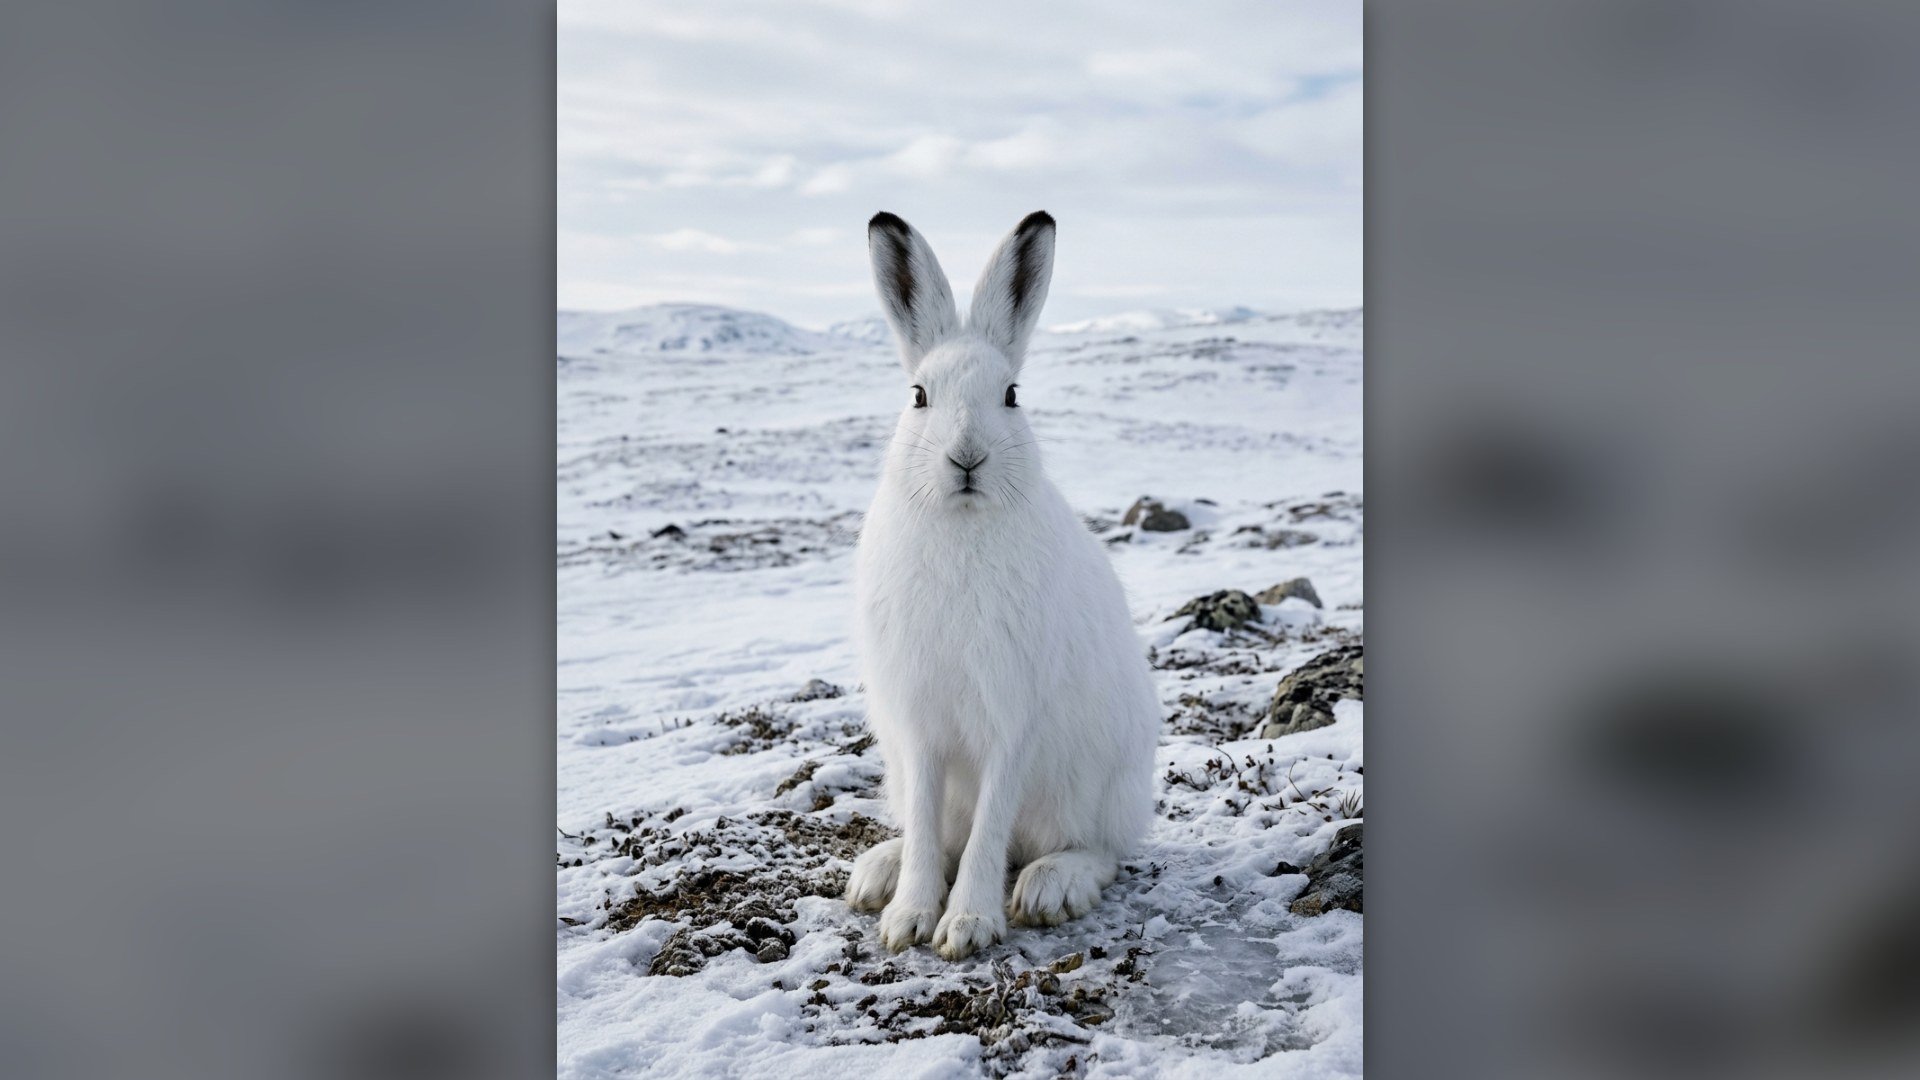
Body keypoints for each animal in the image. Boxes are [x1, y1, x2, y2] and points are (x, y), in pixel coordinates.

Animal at [842, 211, 1161, 960]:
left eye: (1011, 395)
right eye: (918, 396)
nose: (968, 457)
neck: (962, 524)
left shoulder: (1014, 716)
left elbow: (992, 824)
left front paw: (968, 924)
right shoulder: (918, 725)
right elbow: (931, 822)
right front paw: (907, 918)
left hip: (1101, 787)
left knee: (1099, 848)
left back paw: (1052, 886)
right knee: (937, 833)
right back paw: (878, 871)